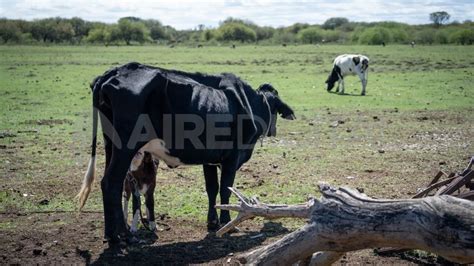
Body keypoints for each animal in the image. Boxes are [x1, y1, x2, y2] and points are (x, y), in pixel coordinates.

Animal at [76, 62, 294, 243]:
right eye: (275, 108)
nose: (273, 130)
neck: (248, 103)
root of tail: (114, 72)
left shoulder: (209, 158)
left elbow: (212, 189)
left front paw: (212, 222)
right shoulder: (232, 158)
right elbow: (226, 189)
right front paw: (227, 223)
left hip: (110, 145)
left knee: (108, 184)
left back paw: (111, 234)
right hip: (124, 148)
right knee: (111, 183)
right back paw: (121, 236)